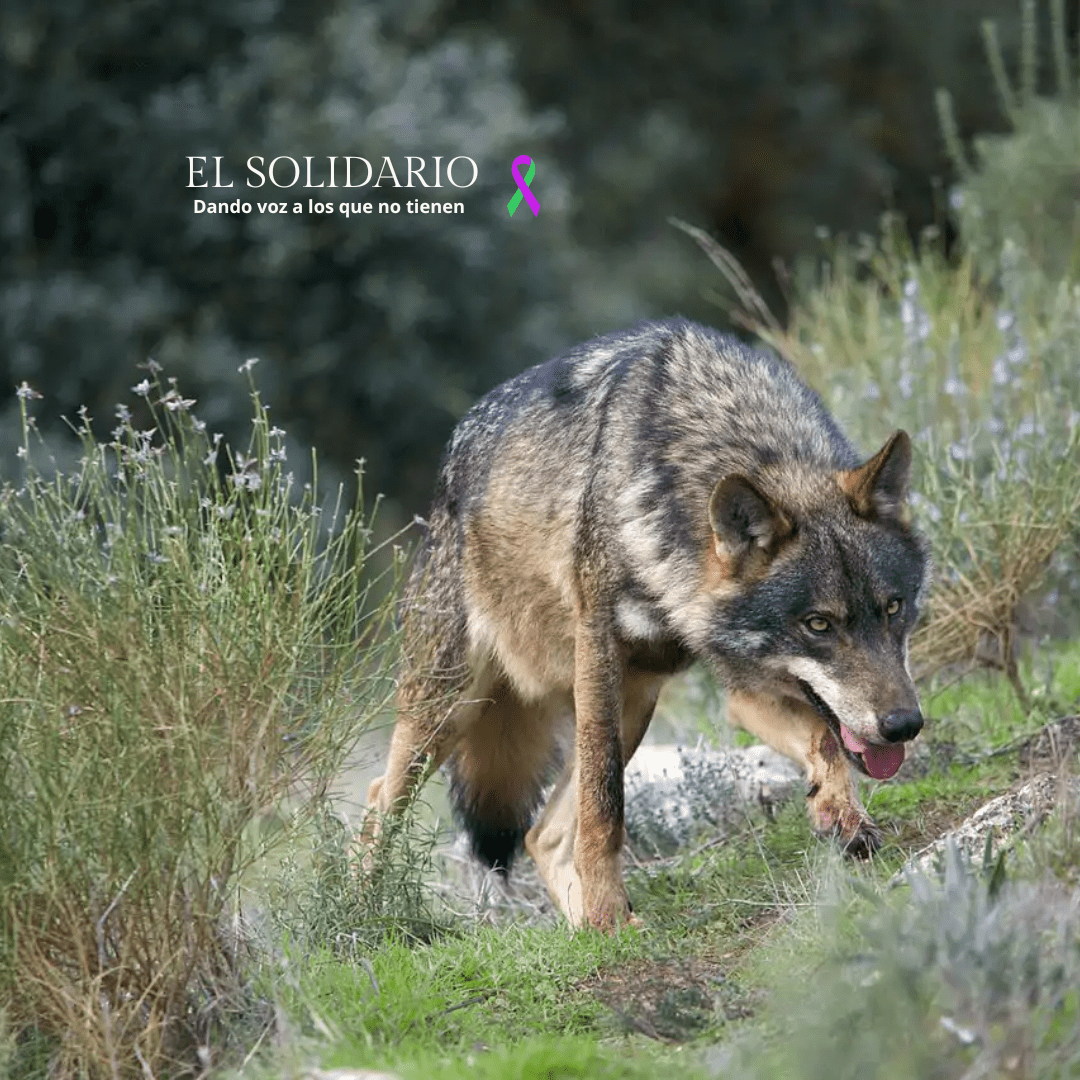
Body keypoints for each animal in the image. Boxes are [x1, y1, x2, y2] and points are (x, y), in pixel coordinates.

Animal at [363, 318, 930, 930]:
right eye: (819, 624)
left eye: (893, 608)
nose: (904, 725)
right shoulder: (599, 653)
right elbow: (604, 806)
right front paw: (608, 909)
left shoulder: (743, 684)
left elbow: (824, 739)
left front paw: (841, 816)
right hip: (452, 708)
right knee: (378, 803)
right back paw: (363, 913)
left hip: (634, 702)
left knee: (542, 835)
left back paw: (588, 931)